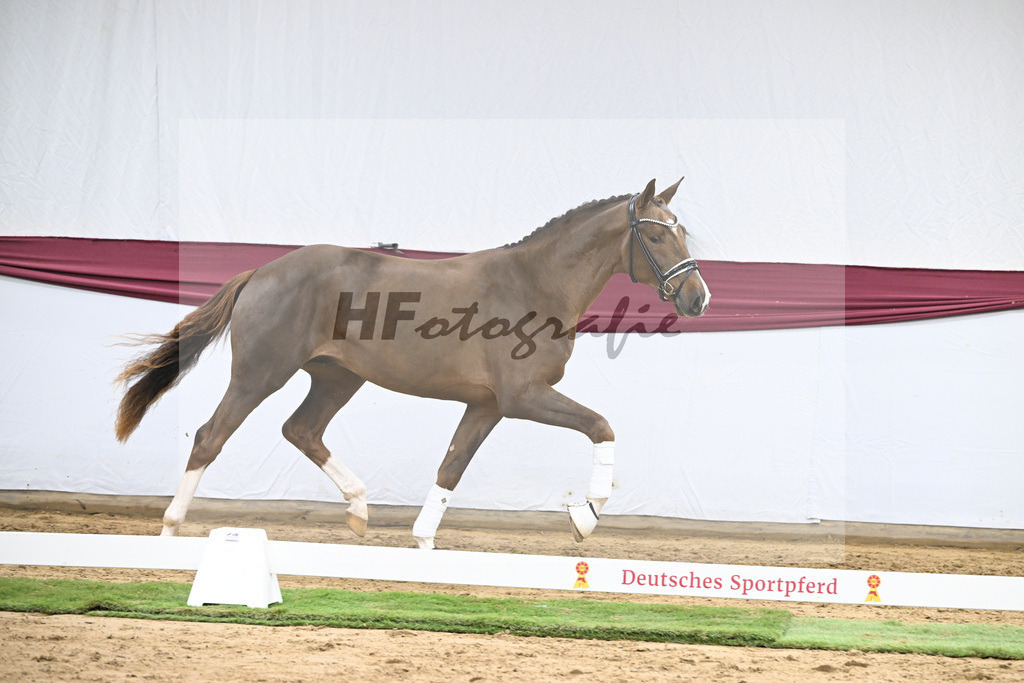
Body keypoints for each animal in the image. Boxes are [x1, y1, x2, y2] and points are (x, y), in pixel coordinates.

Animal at [115, 178, 710, 548]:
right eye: (654, 233)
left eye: (682, 230)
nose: (697, 298)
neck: (534, 283)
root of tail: (261, 271)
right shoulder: (524, 397)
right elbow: (602, 426)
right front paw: (586, 516)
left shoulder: (487, 406)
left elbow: (451, 467)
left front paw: (423, 542)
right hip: (260, 374)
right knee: (209, 437)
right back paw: (170, 530)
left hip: (337, 378)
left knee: (301, 430)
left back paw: (359, 510)